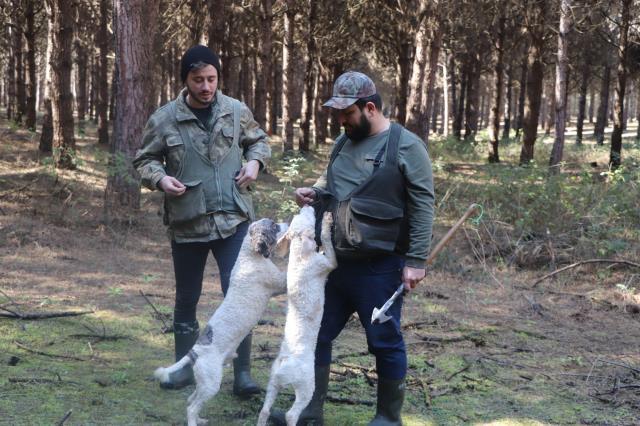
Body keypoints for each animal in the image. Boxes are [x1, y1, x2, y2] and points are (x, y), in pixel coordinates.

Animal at [154, 220, 286, 426]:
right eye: (273, 226)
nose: (286, 222)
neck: (249, 256)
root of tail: (195, 351)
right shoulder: (280, 282)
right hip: (211, 384)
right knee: (191, 407)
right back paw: (194, 421)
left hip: (204, 384)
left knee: (191, 400)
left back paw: (200, 419)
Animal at [256, 205, 338, 424]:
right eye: (305, 215)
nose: (307, 204)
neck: (299, 253)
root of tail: (286, 363)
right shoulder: (329, 262)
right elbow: (326, 242)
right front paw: (327, 222)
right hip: (305, 388)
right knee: (291, 414)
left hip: (272, 383)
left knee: (264, 411)